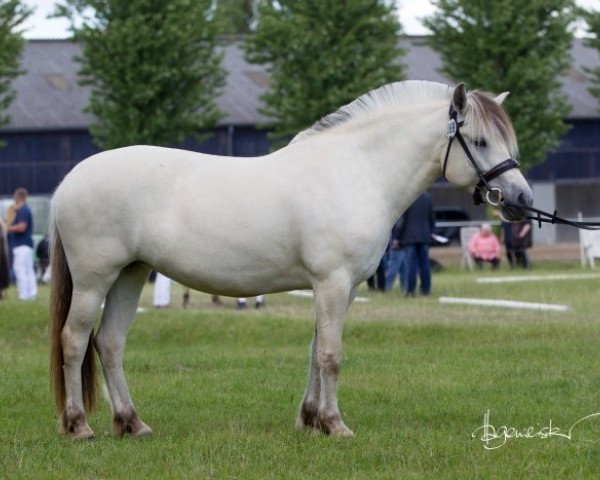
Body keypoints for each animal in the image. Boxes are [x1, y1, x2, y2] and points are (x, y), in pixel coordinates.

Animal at [49, 79, 532, 438]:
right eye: (479, 141)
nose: (522, 201)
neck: (355, 172)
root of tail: (70, 181)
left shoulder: (341, 288)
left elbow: (317, 350)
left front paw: (311, 419)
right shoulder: (332, 282)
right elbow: (332, 354)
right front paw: (335, 425)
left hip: (131, 275)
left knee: (109, 343)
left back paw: (132, 423)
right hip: (95, 280)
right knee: (74, 340)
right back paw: (78, 426)